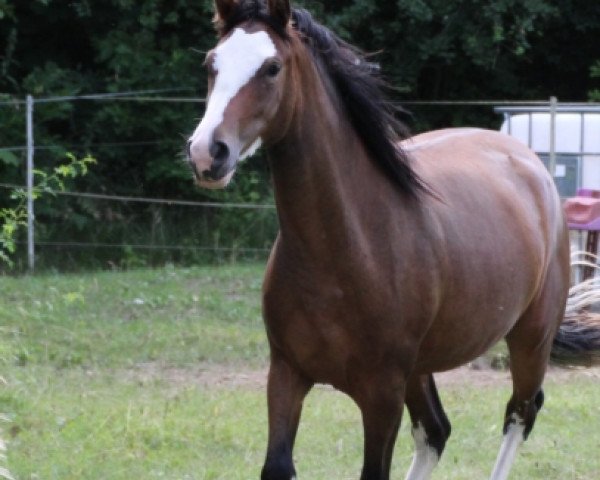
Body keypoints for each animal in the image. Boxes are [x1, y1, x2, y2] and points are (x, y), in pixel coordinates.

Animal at [185, 1, 596, 478]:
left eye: (272, 68)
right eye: (211, 64)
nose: (207, 153)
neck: (347, 247)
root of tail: (530, 163)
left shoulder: (381, 395)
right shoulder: (285, 375)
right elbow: (278, 465)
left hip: (531, 338)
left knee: (520, 413)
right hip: (420, 369)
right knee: (437, 430)